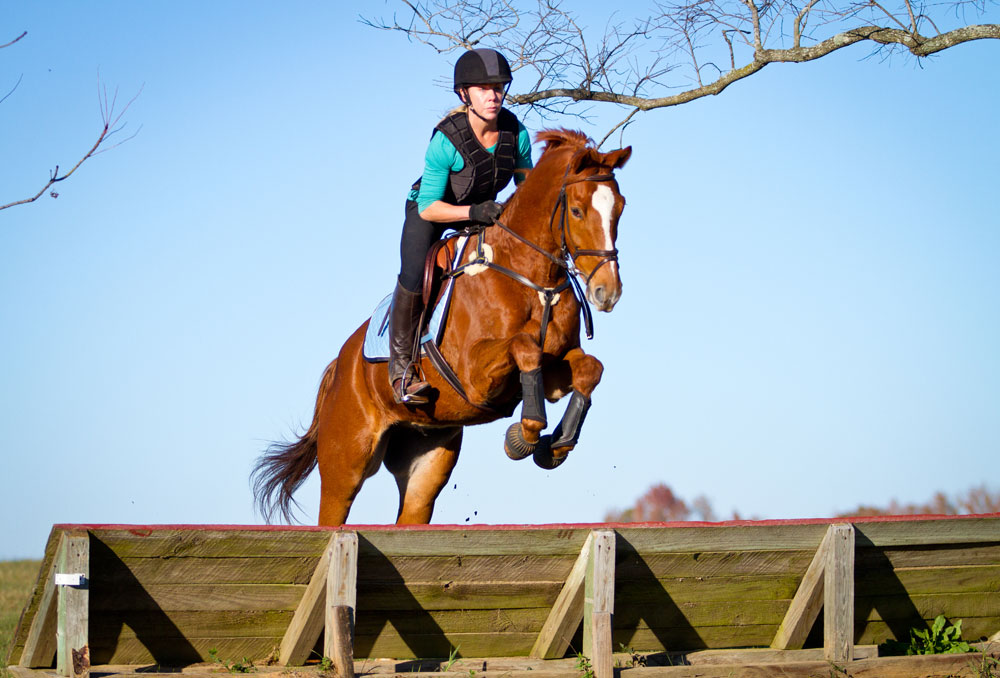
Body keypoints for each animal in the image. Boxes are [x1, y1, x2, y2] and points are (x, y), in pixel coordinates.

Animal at [256, 130, 632, 528]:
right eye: (576, 211)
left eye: (620, 208)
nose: (607, 292)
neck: (533, 278)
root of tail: (340, 365)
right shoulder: (475, 374)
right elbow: (525, 346)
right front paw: (524, 435)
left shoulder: (555, 370)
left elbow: (590, 369)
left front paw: (557, 444)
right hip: (346, 462)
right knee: (333, 509)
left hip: (427, 459)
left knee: (413, 509)